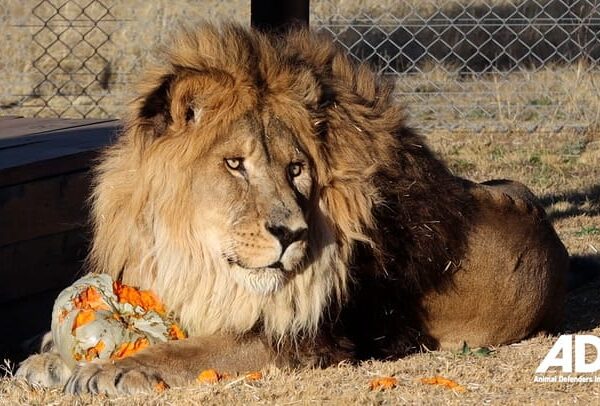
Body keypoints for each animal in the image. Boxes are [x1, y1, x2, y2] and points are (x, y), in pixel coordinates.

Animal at [15, 22, 568, 394]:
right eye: (234, 164)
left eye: (296, 168)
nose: (291, 234)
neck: (194, 255)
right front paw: (48, 358)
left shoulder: (312, 339)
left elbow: (201, 348)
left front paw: (117, 368)